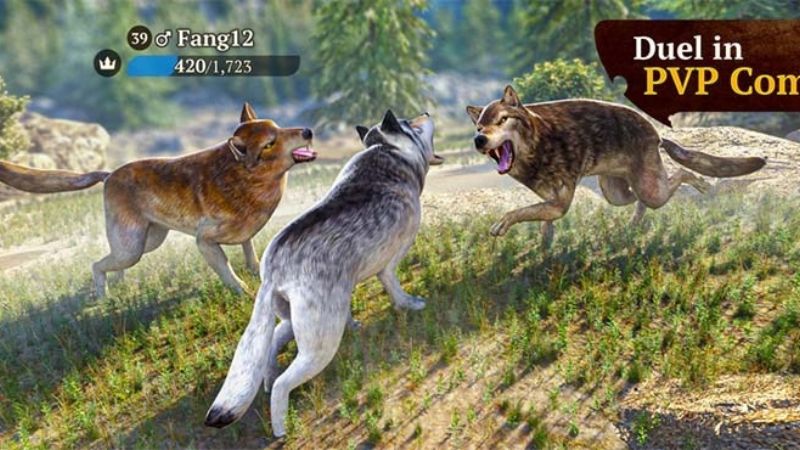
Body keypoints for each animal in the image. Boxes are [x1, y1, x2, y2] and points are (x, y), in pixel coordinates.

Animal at [0, 103, 315, 296]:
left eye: (280, 127)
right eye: (270, 143)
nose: (308, 131)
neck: (242, 177)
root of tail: (109, 175)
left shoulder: (244, 233)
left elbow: (249, 251)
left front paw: (255, 272)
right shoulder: (205, 242)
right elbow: (228, 272)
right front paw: (244, 293)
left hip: (148, 241)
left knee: (112, 263)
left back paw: (119, 285)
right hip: (132, 246)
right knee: (97, 264)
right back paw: (103, 296)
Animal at [204, 110, 443, 437]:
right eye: (411, 124)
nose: (427, 112)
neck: (388, 149)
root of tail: (273, 269)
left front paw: (354, 324)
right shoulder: (389, 264)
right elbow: (395, 288)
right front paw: (411, 305)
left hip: (302, 318)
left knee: (273, 341)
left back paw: (268, 378)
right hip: (320, 341)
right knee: (283, 383)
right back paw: (281, 427)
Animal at [466, 85, 766, 244]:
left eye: (502, 120)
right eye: (480, 126)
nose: (479, 139)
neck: (537, 143)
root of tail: (657, 133)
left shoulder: (560, 203)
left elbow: (519, 212)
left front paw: (502, 224)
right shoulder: (551, 201)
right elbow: (538, 215)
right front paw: (546, 239)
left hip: (649, 189)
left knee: (679, 174)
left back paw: (701, 183)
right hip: (616, 193)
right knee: (639, 201)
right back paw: (632, 225)